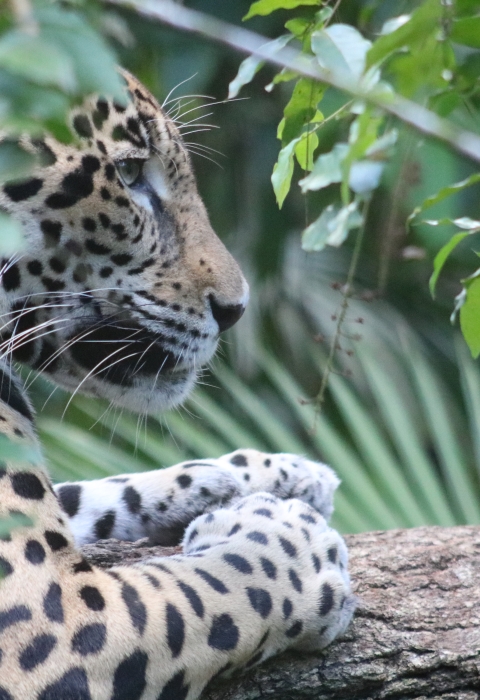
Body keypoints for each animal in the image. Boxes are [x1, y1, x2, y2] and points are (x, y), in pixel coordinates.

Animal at [0, 70, 354, 699]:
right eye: (128, 174)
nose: (236, 310)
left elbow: (85, 492)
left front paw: (263, 474)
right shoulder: (55, 616)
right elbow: (226, 582)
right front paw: (297, 543)